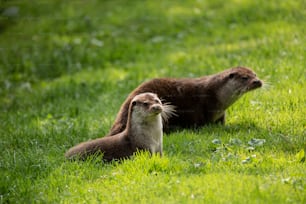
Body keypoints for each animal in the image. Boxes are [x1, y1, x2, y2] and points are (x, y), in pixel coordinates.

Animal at [109, 66, 262, 135]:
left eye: (255, 74)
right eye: (245, 78)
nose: (258, 81)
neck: (216, 95)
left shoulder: (220, 114)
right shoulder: (201, 107)